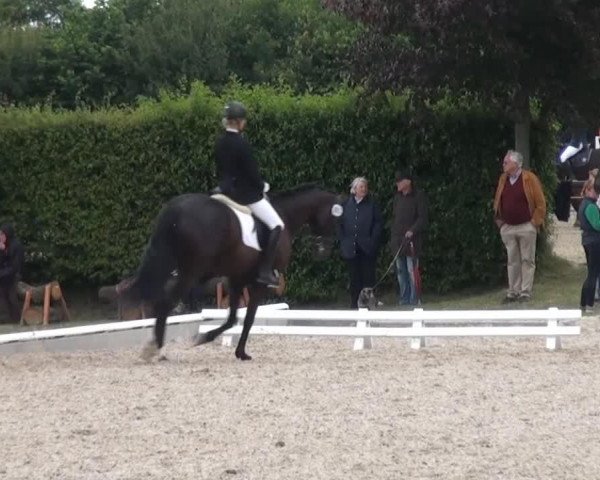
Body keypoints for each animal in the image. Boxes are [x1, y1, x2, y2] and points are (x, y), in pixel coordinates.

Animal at [120, 186, 342, 362]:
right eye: (334, 218)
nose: (323, 252)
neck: (285, 216)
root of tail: (176, 208)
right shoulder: (257, 284)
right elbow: (249, 318)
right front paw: (239, 351)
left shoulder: (236, 279)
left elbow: (233, 318)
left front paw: (212, 340)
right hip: (190, 272)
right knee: (166, 301)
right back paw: (155, 348)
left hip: (173, 265)